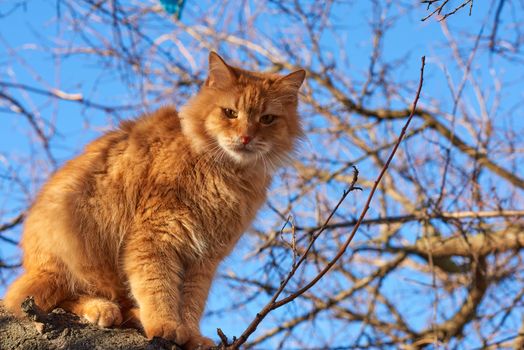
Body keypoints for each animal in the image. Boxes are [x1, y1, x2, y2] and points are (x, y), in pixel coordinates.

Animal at [4, 50, 304, 348]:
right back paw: (103, 309)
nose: (245, 137)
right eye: (230, 113)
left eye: (267, 119)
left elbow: (191, 303)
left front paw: (192, 336)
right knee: (43, 297)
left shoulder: (203, 260)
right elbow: (158, 288)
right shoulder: (156, 236)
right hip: (80, 248)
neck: (227, 173)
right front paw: (165, 326)